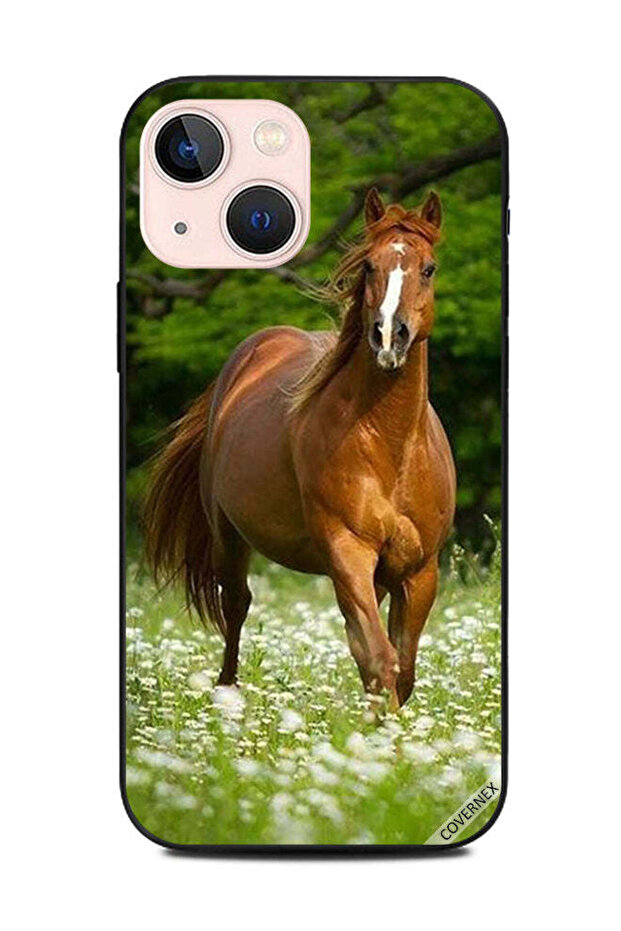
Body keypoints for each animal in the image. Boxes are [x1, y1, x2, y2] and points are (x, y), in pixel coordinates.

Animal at [144, 188, 456, 711]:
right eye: (369, 266)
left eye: (428, 268)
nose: (388, 337)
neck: (391, 447)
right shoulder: (347, 552)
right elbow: (381, 660)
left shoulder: (419, 571)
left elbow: (401, 667)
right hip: (228, 536)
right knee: (236, 606)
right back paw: (228, 700)